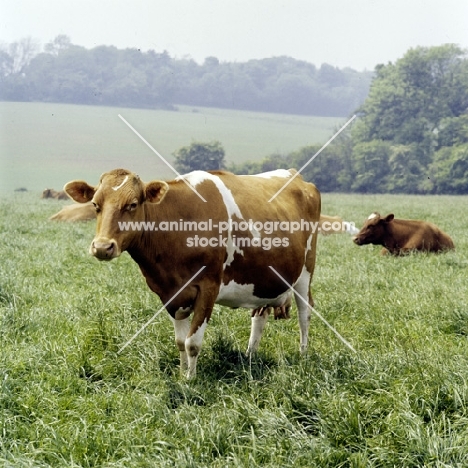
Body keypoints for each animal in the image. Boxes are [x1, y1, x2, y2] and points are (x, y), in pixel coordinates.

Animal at [65, 166, 322, 378]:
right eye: (95, 205)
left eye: (133, 204)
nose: (102, 247)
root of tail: (296, 176)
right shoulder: (170, 293)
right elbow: (180, 341)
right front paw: (181, 374)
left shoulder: (208, 287)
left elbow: (193, 342)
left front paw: (191, 380)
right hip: (264, 278)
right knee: (259, 315)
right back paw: (250, 357)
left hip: (305, 271)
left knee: (305, 313)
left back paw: (303, 355)